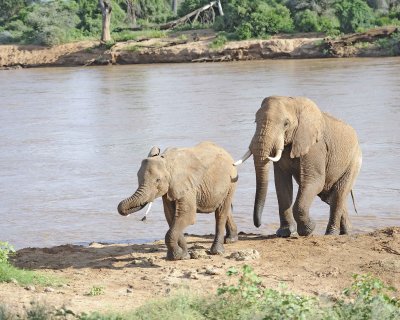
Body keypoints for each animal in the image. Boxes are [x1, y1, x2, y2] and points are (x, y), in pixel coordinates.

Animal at [234, 96, 362, 236]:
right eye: (255, 121)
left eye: (286, 124)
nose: (258, 224)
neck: (294, 102)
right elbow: (282, 183)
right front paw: (284, 233)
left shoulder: (315, 147)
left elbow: (315, 181)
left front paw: (308, 229)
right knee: (329, 197)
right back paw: (346, 232)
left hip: (353, 162)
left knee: (338, 194)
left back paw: (331, 234)